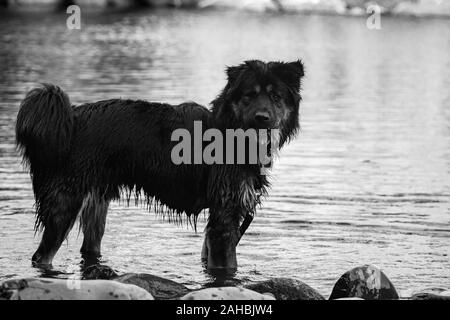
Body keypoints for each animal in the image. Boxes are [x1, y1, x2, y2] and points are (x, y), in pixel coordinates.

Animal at [15, 58, 304, 272]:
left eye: (276, 97)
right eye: (249, 96)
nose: (262, 117)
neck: (230, 132)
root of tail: (71, 118)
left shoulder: (220, 219)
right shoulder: (225, 217)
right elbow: (227, 268)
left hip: (96, 201)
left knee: (89, 247)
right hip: (64, 202)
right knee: (41, 256)